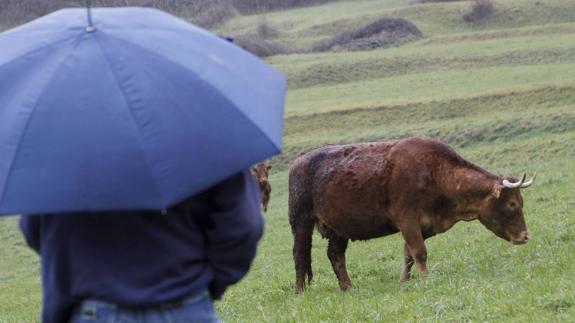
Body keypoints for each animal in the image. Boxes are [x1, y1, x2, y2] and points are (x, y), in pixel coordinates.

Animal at [290, 137, 536, 294]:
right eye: (512, 204)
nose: (525, 236)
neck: (435, 172)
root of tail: (297, 163)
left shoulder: (423, 226)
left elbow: (409, 254)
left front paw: (404, 280)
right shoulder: (407, 221)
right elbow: (419, 253)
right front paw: (426, 278)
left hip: (338, 229)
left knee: (336, 256)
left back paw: (348, 287)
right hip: (301, 222)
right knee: (300, 256)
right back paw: (299, 291)